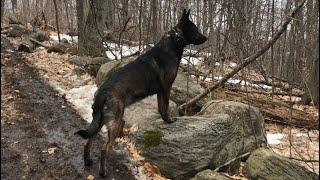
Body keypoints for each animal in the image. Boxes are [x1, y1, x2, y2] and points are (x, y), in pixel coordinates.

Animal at [75, 9, 208, 176]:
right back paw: (103, 172)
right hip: (114, 122)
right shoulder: (167, 88)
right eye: (195, 29)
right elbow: (165, 107)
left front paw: (164, 119)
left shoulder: (160, 91)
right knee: (104, 149)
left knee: (88, 141)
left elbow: (161, 108)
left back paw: (87, 161)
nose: (206, 38)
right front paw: (170, 120)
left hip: (99, 121)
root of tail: (102, 93)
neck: (174, 40)